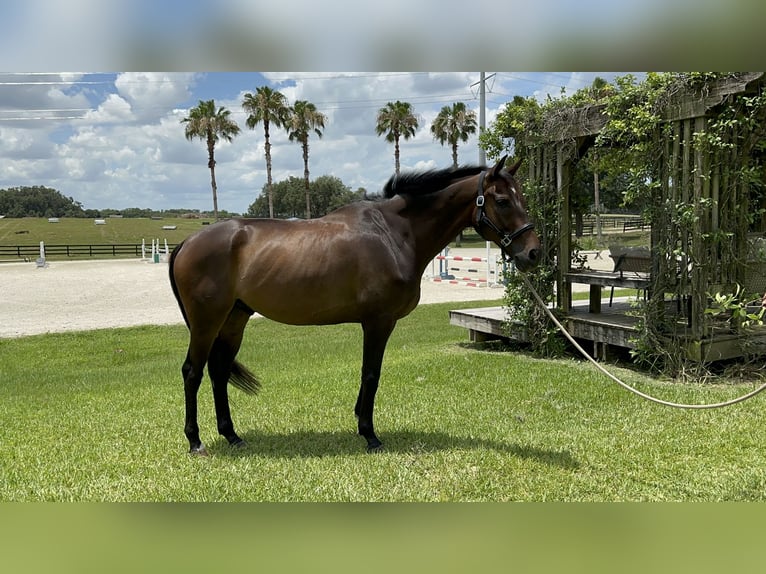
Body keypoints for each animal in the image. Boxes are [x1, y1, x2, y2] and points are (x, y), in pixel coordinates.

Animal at [170, 155, 540, 456]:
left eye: (522, 196)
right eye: (503, 200)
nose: (533, 252)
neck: (394, 234)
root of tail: (187, 242)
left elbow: (369, 375)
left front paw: (361, 421)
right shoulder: (379, 321)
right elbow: (371, 374)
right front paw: (370, 434)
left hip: (234, 319)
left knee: (218, 371)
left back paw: (232, 436)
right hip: (206, 322)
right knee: (192, 372)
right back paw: (195, 441)